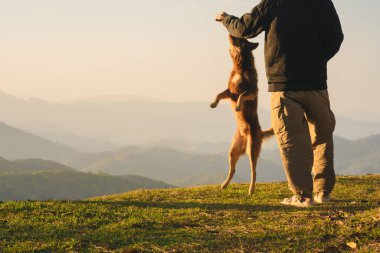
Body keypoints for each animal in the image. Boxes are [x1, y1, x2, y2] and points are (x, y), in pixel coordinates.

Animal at [211, 34, 274, 195]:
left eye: (241, 39)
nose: (230, 34)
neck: (240, 66)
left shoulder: (251, 92)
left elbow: (242, 95)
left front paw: (238, 106)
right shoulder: (229, 91)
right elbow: (219, 94)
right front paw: (213, 104)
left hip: (252, 150)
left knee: (254, 171)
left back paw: (251, 189)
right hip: (232, 151)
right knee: (232, 170)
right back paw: (224, 184)